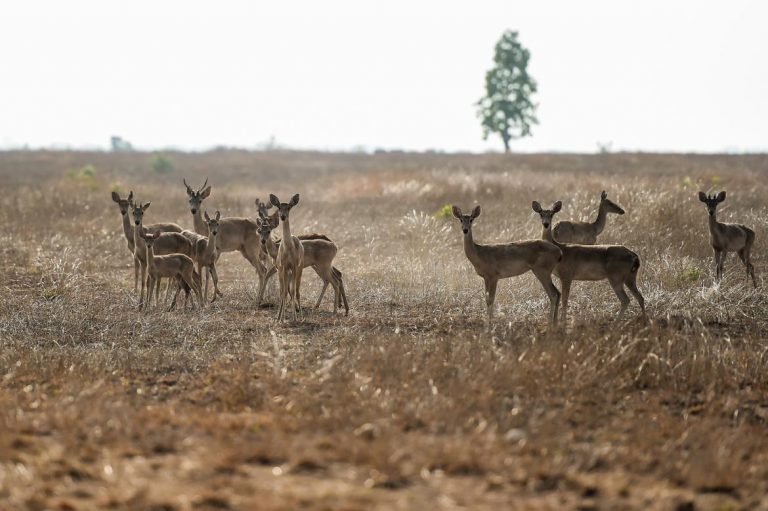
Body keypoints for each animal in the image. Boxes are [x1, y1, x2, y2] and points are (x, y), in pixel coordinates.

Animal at [270, 194, 306, 322]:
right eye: (279, 207)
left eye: (289, 207)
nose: (283, 216)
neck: (289, 249)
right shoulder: (284, 266)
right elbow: (284, 292)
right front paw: (282, 318)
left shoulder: (294, 265)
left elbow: (294, 291)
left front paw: (295, 318)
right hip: (282, 272)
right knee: (283, 291)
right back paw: (278, 316)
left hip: (299, 269)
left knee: (297, 291)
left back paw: (300, 316)